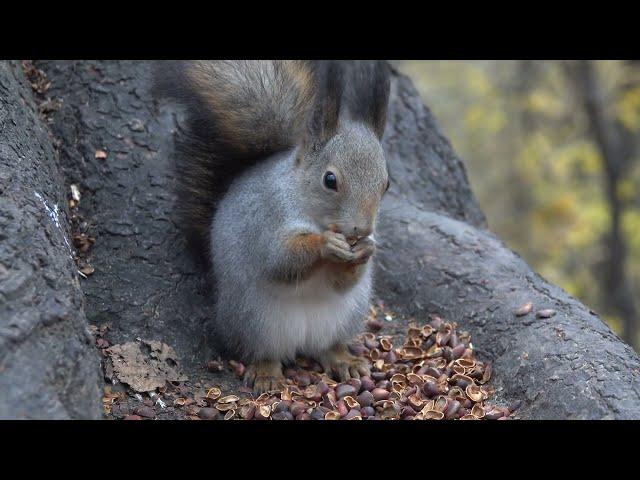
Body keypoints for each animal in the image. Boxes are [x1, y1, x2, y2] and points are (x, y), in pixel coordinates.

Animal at [154, 60, 390, 392]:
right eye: (330, 180)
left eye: (386, 184)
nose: (360, 230)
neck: (313, 214)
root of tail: (301, 342)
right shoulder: (265, 221)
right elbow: (280, 261)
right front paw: (325, 245)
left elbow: (342, 282)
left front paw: (366, 250)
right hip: (255, 320)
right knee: (262, 352)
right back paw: (266, 373)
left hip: (347, 316)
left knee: (328, 347)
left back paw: (344, 360)